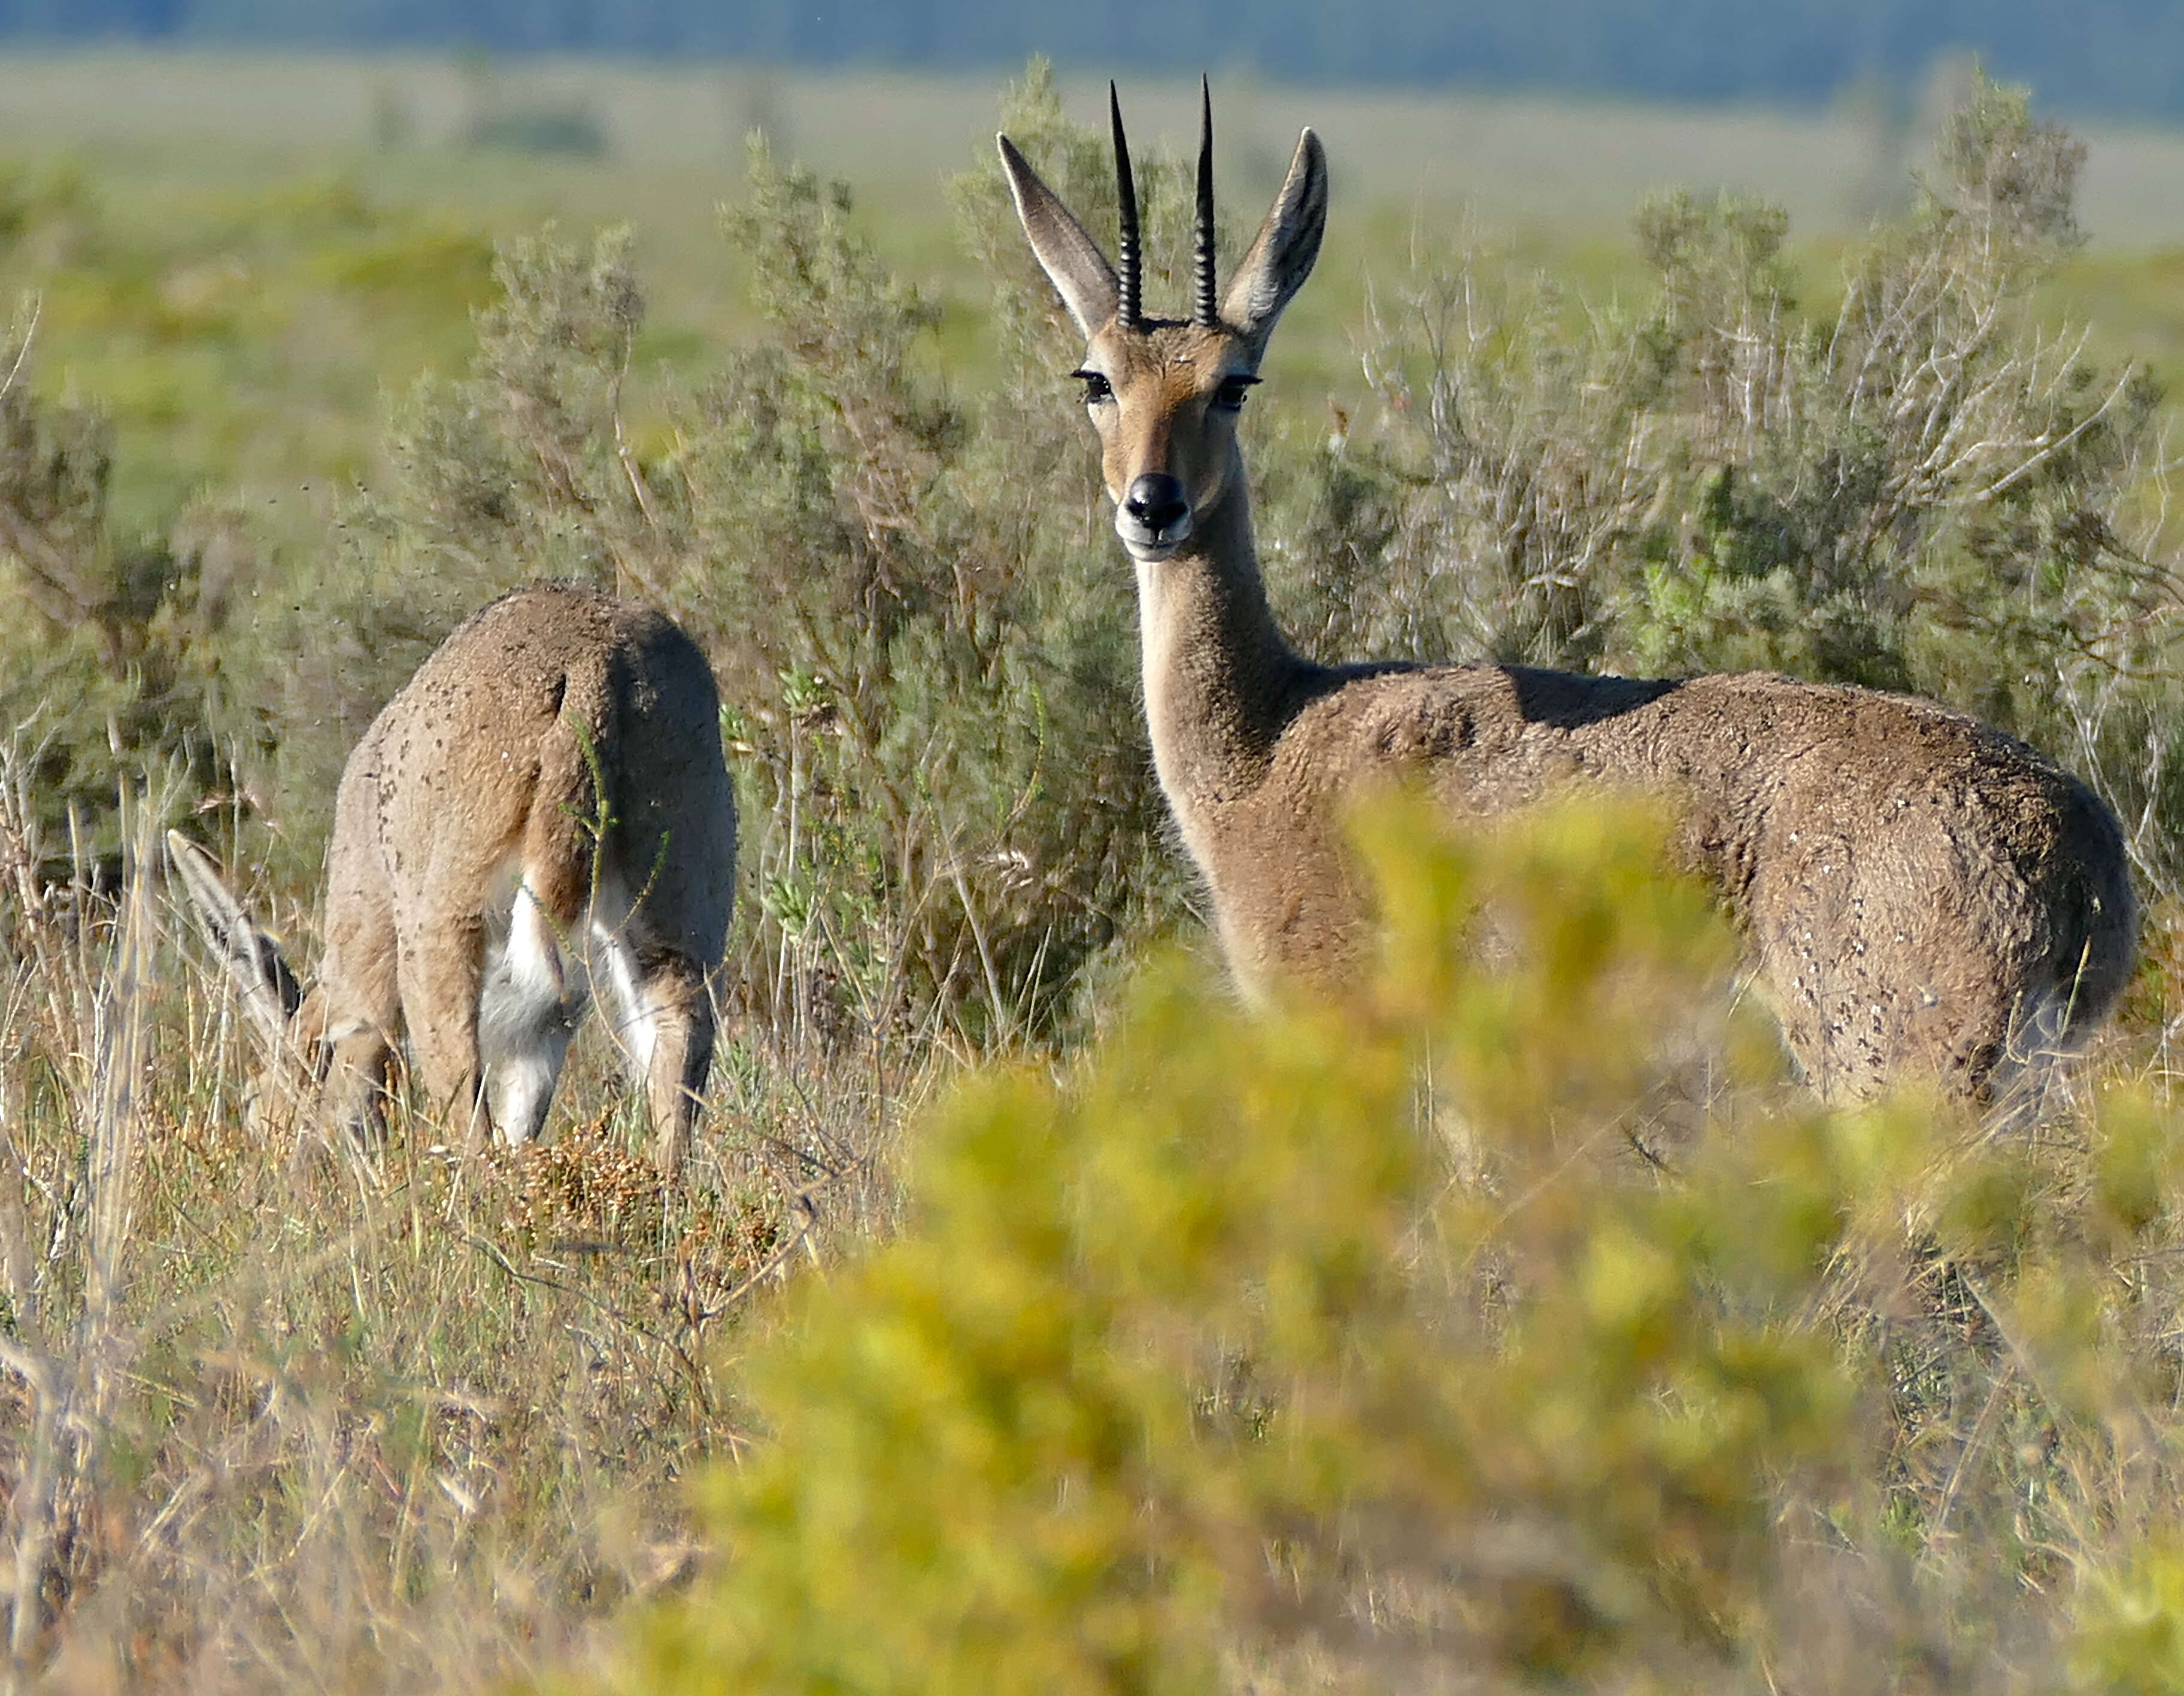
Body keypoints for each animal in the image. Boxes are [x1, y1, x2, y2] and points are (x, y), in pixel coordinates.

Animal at [170, 580, 733, 1161]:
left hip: (441, 932)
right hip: (677, 921)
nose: (272, 1156)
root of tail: (592, 666)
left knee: (468, 1122)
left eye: (252, 1102)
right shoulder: (545, 1027)